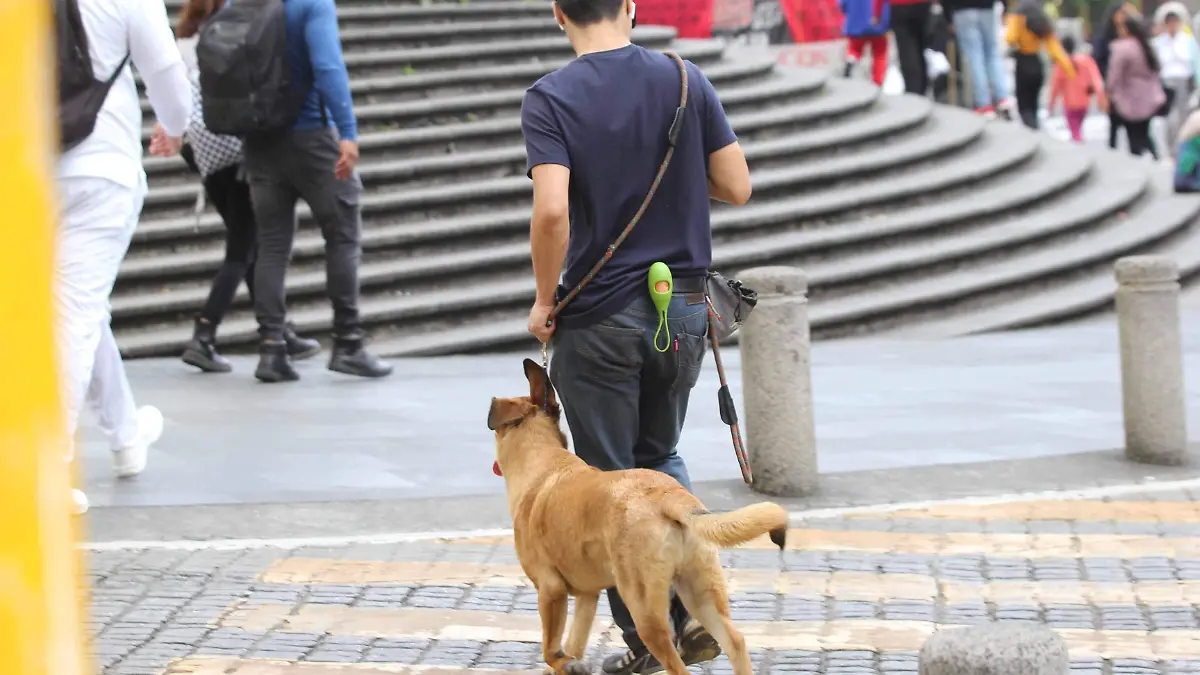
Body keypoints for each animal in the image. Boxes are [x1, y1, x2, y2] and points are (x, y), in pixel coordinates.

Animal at [487, 360, 787, 672]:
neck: (543, 461)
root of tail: (669, 495)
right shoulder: (586, 597)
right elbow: (574, 643)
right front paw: (572, 665)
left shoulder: (550, 590)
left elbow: (550, 650)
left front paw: (563, 662)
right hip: (700, 592)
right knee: (735, 642)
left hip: (644, 610)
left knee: (675, 661)